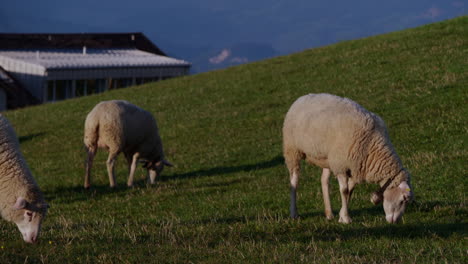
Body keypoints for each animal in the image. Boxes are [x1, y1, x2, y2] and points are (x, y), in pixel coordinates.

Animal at [284, 94, 412, 224]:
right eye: (403, 199)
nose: (395, 221)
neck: (372, 146)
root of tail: (302, 97)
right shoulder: (341, 166)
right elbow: (345, 191)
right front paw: (346, 218)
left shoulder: (354, 167)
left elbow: (350, 190)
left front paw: (341, 215)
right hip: (292, 150)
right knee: (294, 181)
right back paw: (294, 213)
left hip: (328, 158)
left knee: (324, 181)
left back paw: (329, 213)